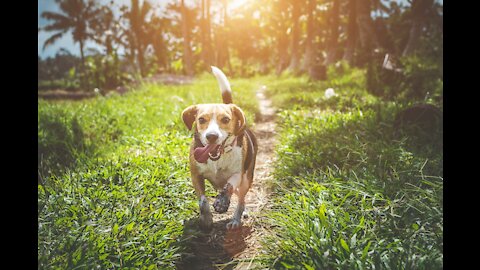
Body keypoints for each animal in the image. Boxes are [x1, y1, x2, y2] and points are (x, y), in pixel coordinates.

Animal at [181, 66, 256, 230]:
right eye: (201, 119)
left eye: (226, 119)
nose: (212, 136)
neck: (218, 158)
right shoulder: (196, 175)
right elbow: (203, 201)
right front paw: (206, 219)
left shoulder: (238, 174)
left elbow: (229, 186)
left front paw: (222, 202)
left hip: (247, 179)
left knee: (241, 199)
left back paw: (236, 219)